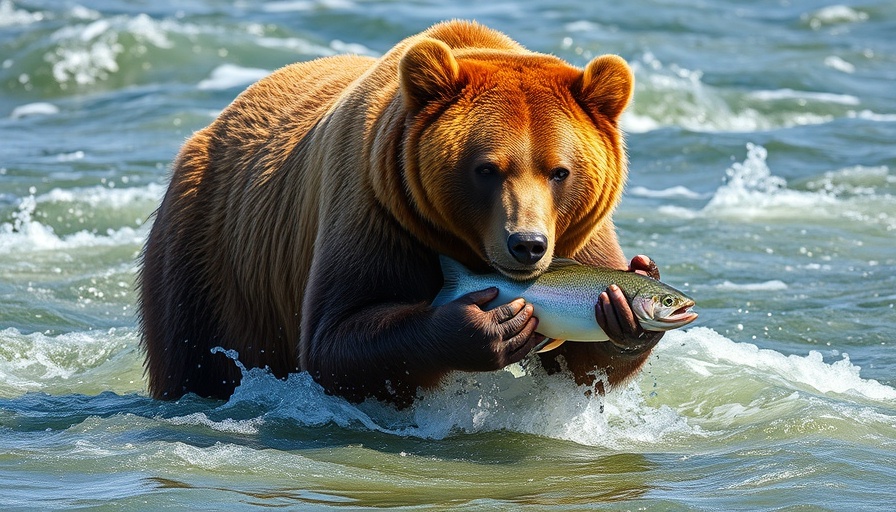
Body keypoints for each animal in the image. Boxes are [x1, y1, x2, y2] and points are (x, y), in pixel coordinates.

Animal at [136, 21, 660, 408]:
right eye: (487, 169)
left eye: (559, 171)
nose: (527, 244)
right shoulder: (375, 209)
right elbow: (337, 336)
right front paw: (479, 326)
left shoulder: (579, 238)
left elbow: (582, 364)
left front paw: (624, 310)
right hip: (206, 257)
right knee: (195, 357)